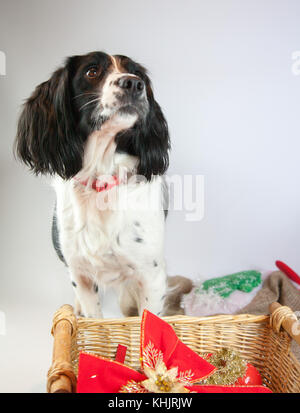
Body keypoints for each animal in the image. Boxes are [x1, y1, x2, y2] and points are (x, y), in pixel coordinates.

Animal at [14, 50, 176, 316]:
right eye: (92, 71)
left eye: (138, 74)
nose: (134, 84)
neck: (101, 181)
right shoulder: (80, 274)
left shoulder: (152, 275)